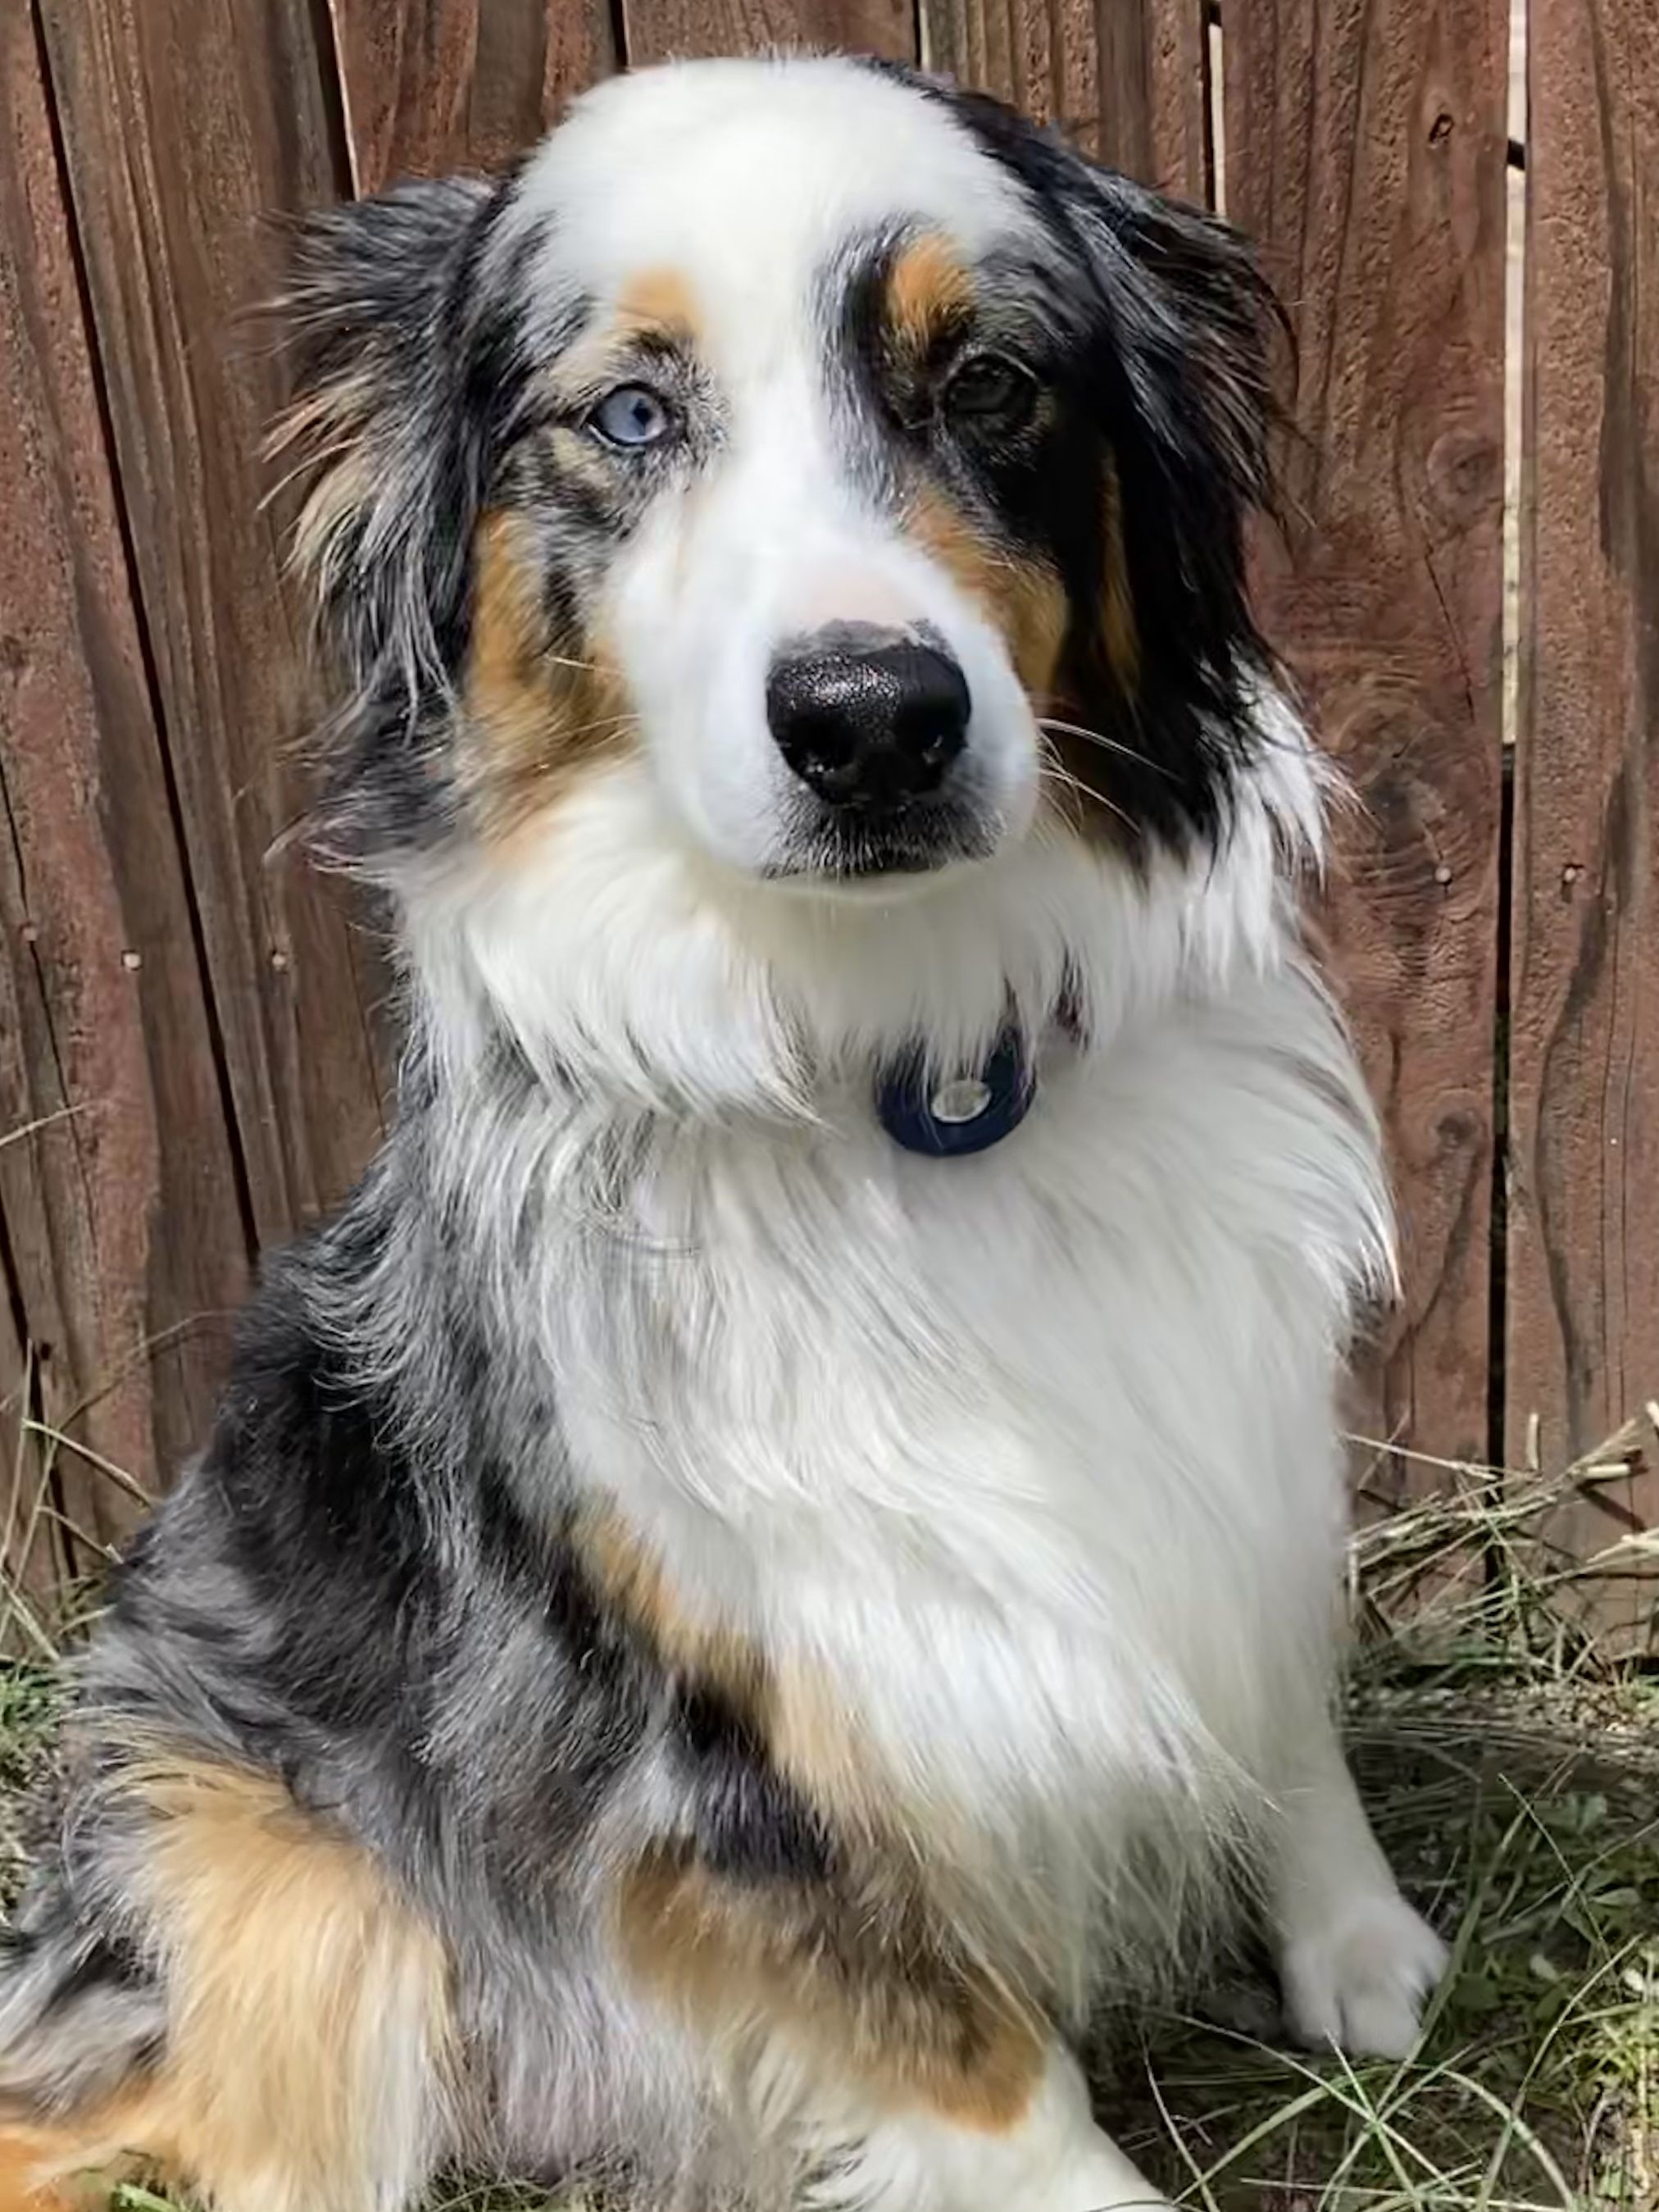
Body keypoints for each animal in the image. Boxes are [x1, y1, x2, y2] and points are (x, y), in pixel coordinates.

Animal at [0, 53, 1448, 2212]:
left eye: (988, 381)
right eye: (629, 415)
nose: (873, 718)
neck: (915, 1070)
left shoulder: (1232, 1424)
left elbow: (1271, 1680)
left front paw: (1353, 1933)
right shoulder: (725, 1737)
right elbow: (966, 2052)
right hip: (293, 1893)